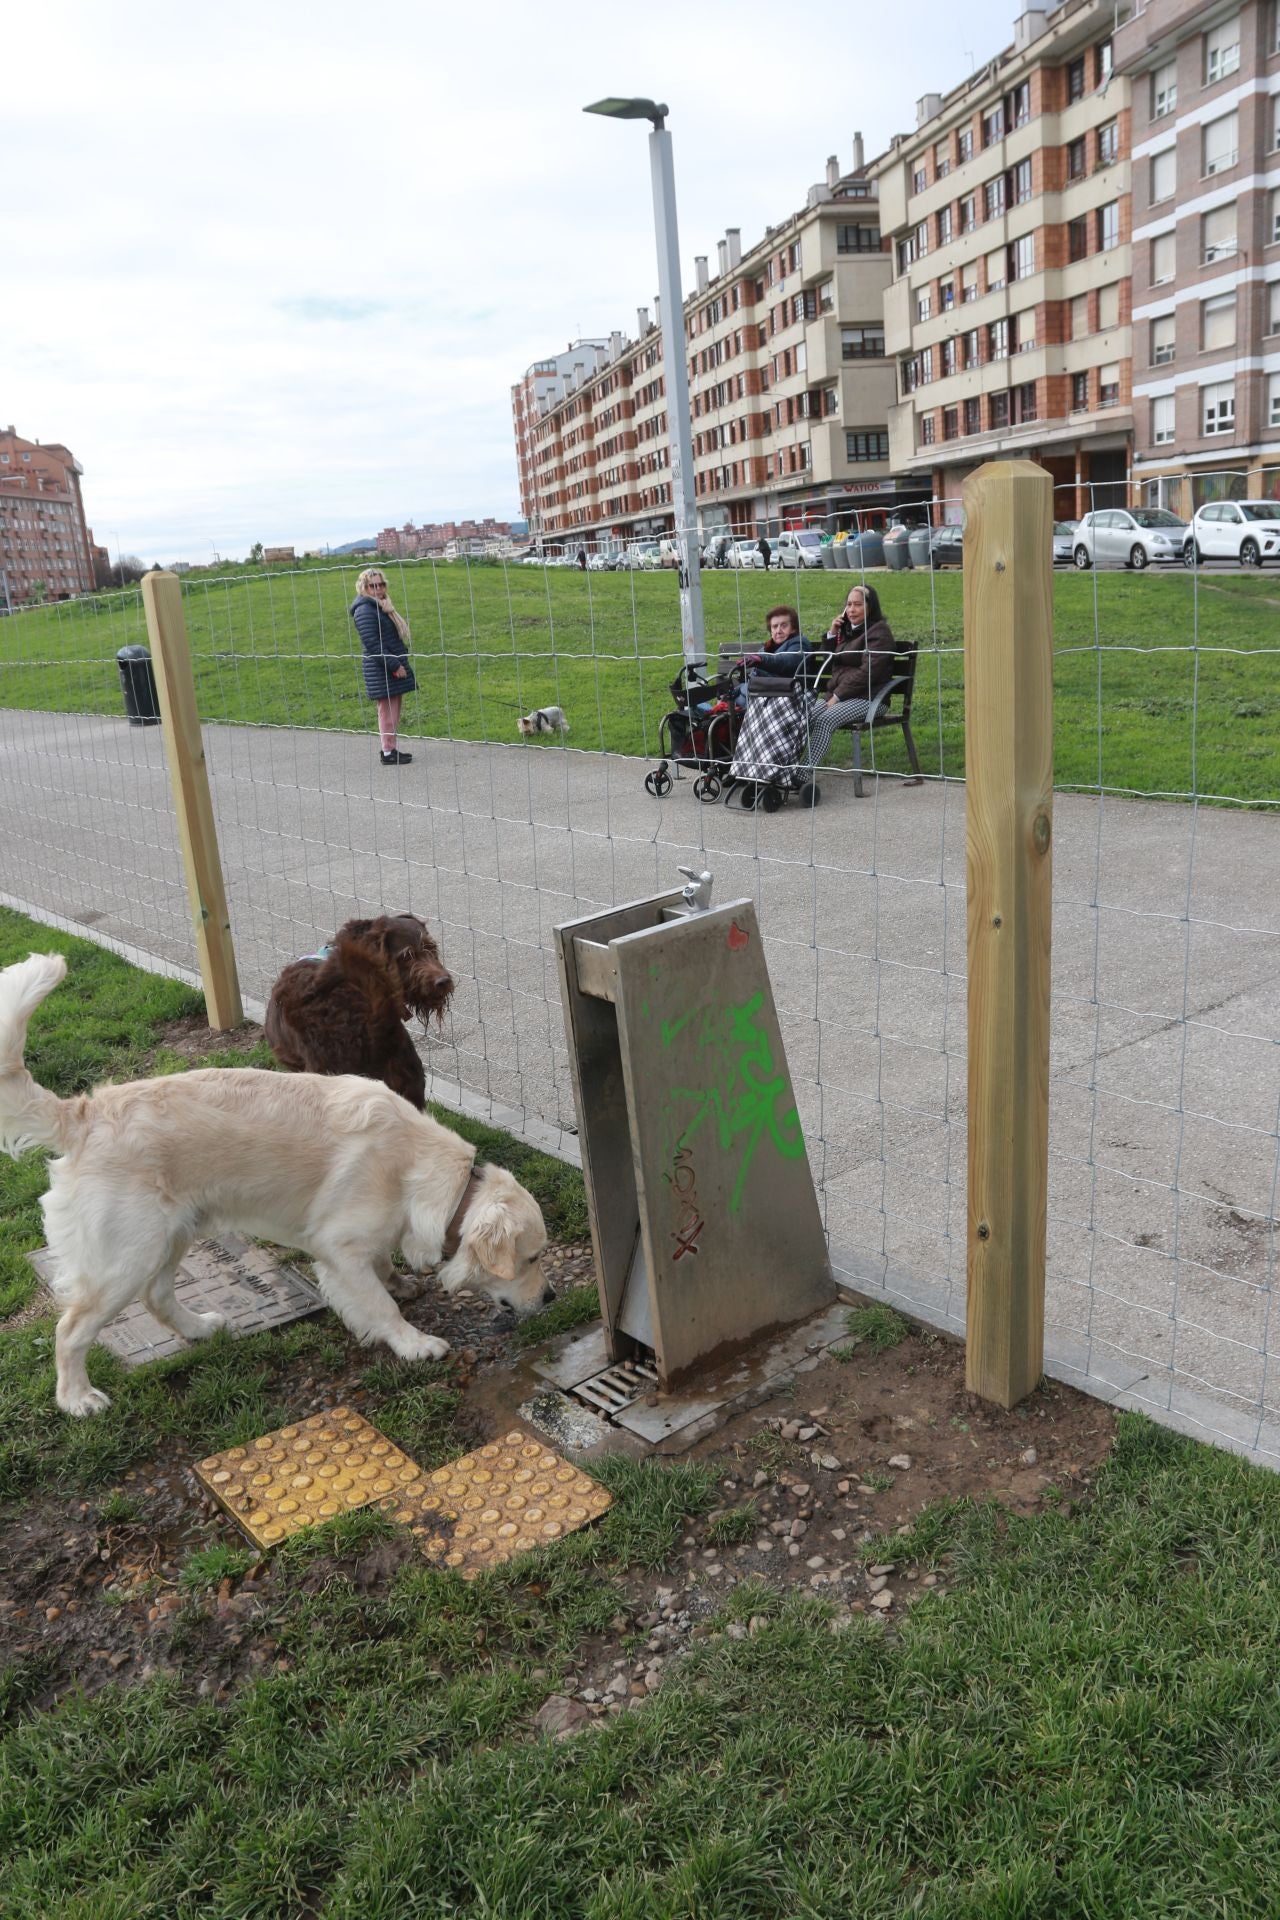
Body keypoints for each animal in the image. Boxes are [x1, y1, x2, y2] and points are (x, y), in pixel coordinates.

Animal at [0, 956, 552, 1420]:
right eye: (530, 1259)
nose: (549, 1298)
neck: (424, 1170)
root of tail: (83, 1113)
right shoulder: (338, 1247)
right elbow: (379, 1305)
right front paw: (414, 1343)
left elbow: (382, 1269)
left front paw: (396, 1280)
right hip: (123, 1258)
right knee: (70, 1330)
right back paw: (76, 1399)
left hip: (170, 1236)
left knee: (157, 1297)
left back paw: (200, 1328)